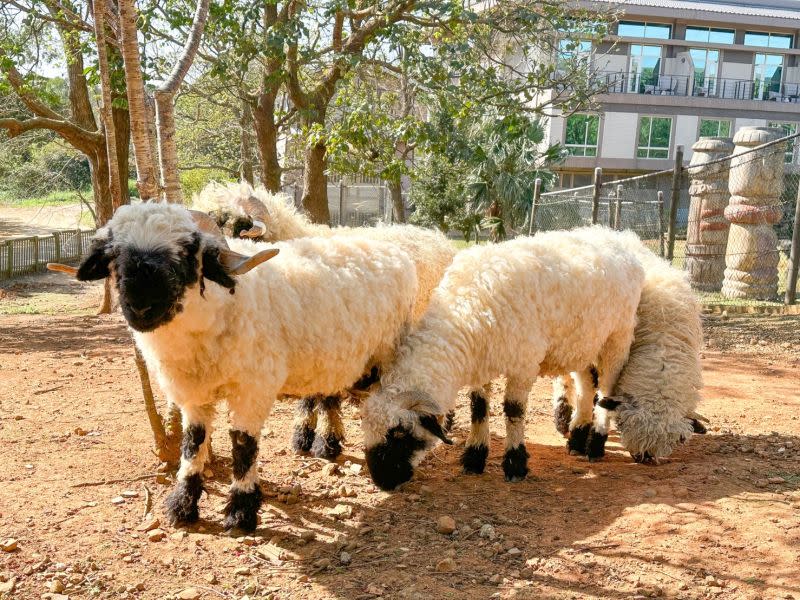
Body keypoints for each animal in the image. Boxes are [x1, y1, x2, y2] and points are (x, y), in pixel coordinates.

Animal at [54, 202, 418, 528]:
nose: (141, 307)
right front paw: (182, 505)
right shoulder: (194, 394)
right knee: (327, 393)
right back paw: (323, 443)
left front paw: (241, 510)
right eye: (115, 255)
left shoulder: (253, 388)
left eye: (187, 253)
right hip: (331, 353)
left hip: (385, 350)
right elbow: (193, 443)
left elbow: (243, 444)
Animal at [191, 180, 460, 458]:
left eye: (234, 228)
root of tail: (437, 237)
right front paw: (303, 436)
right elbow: (309, 397)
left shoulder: (333, 345)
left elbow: (326, 397)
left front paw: (328, 442)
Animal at [360, 227, 648, 490]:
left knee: (607, 389)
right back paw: (577, 438)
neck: (465, 310)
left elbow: (513, 411)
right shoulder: (480, 364)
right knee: (587, 385)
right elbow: (478, 408)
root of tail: (619, 236)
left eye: (399, 433)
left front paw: (515, 464)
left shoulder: (524, 364)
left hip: (618, 337)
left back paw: (596, 443)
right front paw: (474, 457)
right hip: (582, 342)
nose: (383, 482)